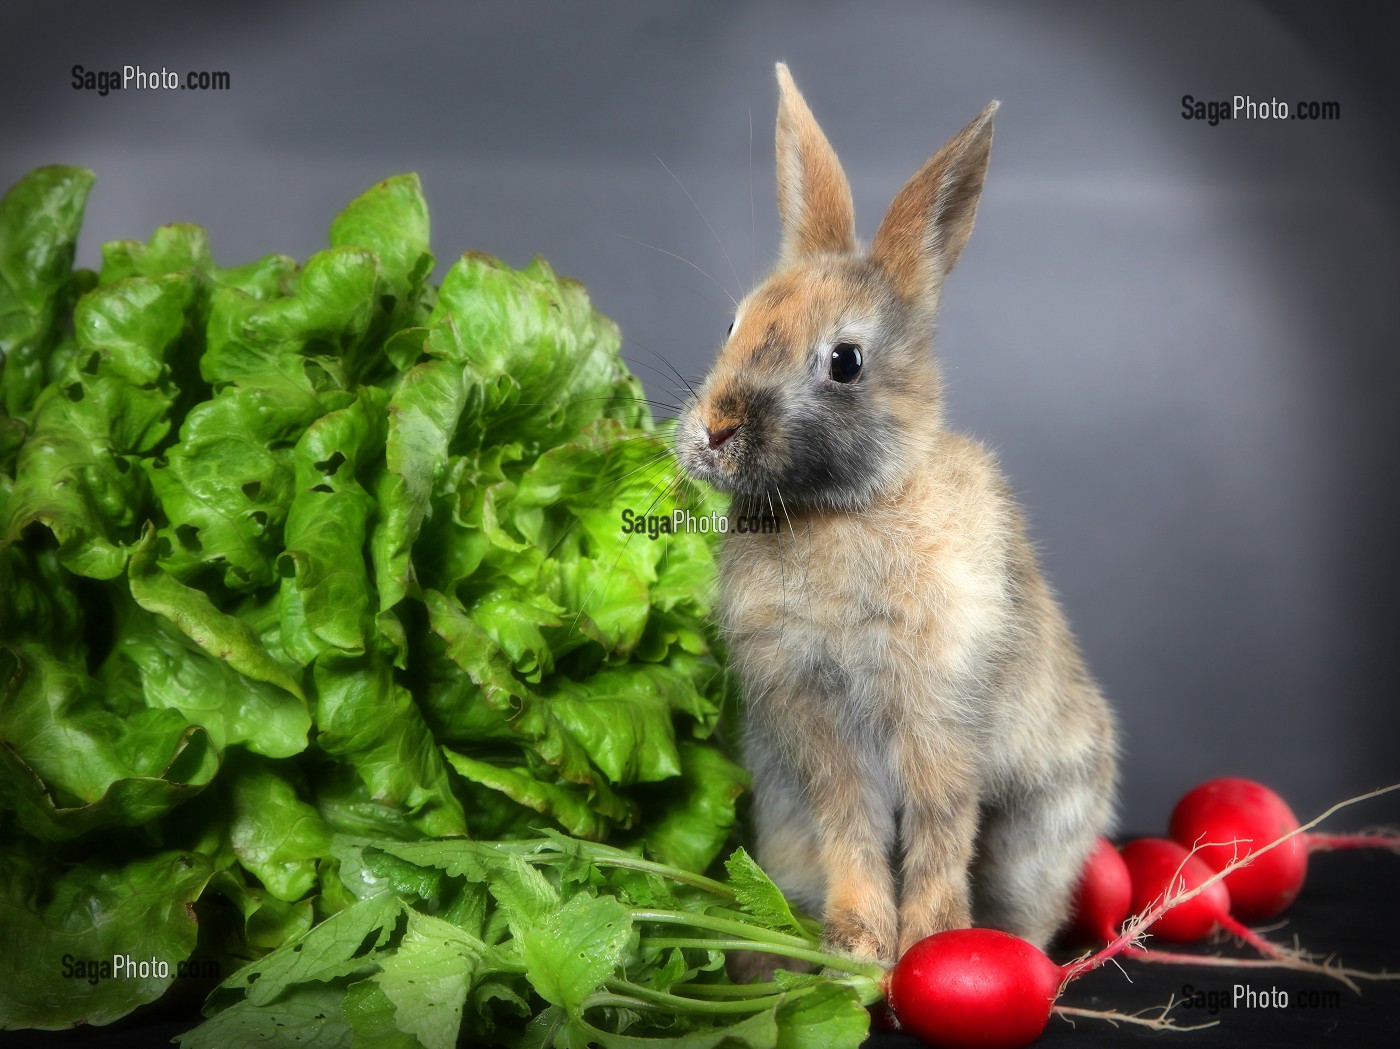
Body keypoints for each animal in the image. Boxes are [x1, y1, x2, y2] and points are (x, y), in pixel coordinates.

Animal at [672, 63, 1120, 963]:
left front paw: (932, 939)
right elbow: (852, 825)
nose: (715, 428)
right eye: (735, 321)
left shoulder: (940, 708)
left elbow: (940, 823)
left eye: (845, 361)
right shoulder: (814, 722)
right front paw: (857, 943)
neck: (844, 509)